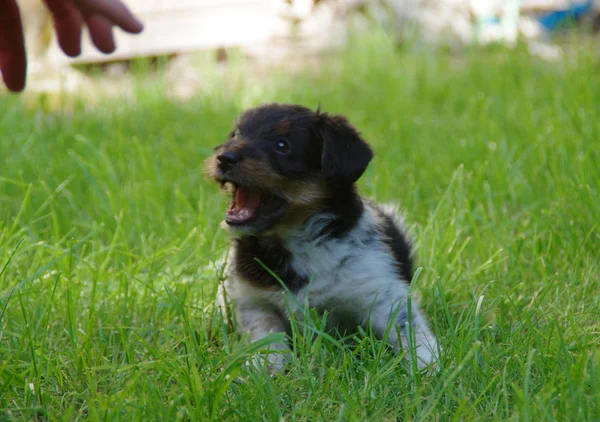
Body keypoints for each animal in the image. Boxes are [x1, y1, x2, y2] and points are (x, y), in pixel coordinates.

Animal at [205, 104, 436, 370]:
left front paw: (427, 365)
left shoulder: (381, 294)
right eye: (235, 135)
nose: (224, 157)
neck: (294, 242)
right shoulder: (253, 300)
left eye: (282, 145)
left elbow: (410, 330)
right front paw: (267, 368)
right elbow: (266, 337)